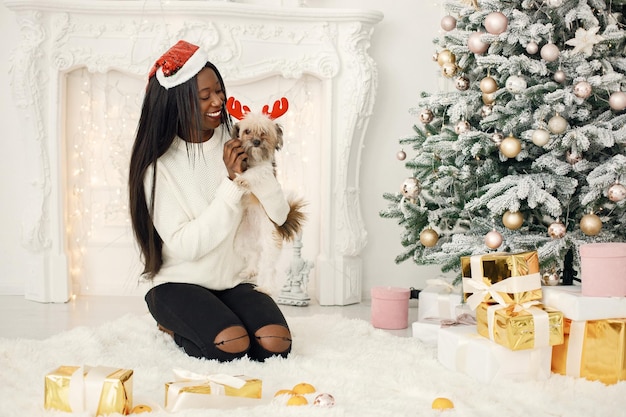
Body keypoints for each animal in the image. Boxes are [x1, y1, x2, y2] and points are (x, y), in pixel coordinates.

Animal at [229, 96, 308, 290]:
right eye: (247, 131)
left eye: (264, 132)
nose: (256, 142)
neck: (253, 160)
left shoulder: (264, 172)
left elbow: (254, 173)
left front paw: (243, 180)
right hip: (241, 241)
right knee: (253, 256)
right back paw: (250, 271)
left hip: (270, 244)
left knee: (268, 268)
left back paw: (265, 288)